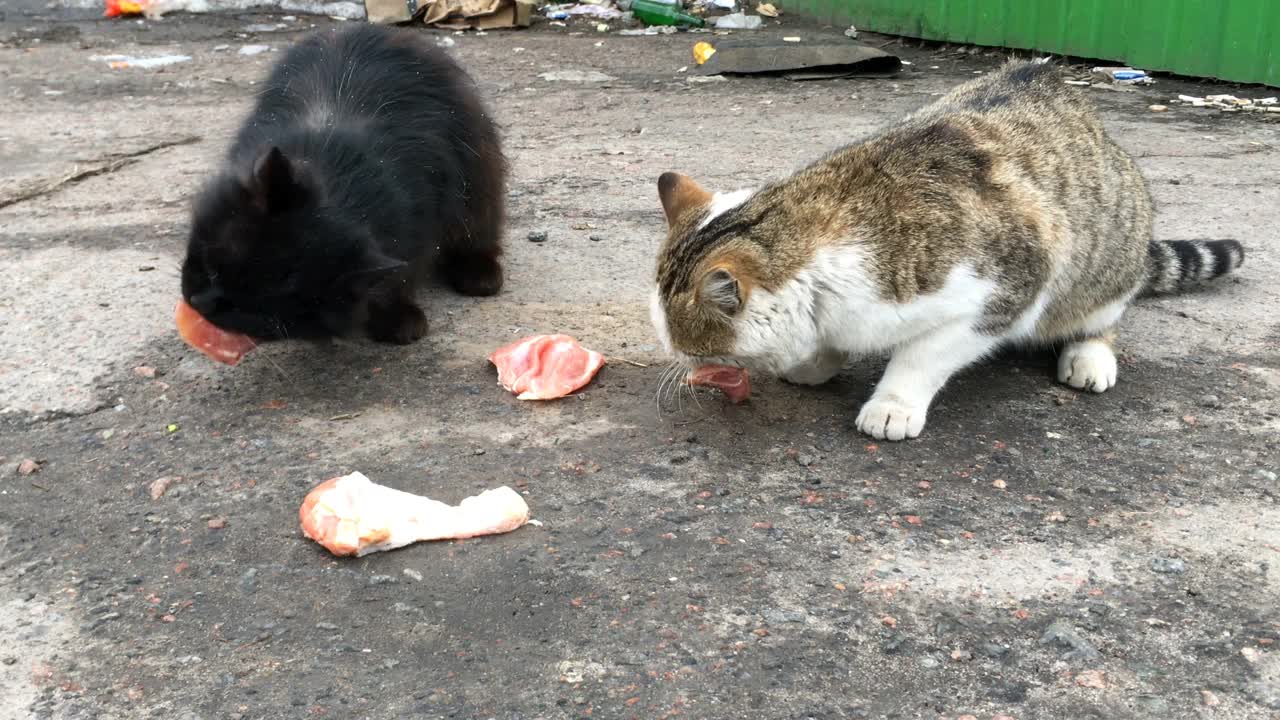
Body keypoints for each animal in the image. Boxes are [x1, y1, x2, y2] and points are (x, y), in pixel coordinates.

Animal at [183, 23, 506, 343]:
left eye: (253, 311)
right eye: (212, 267)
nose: (201, 303)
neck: (337, 173)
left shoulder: (416, 229)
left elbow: (400, 277)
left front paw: (396, 318)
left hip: (476, 178)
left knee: (480, 232)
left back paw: (479, 272)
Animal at [650, 60, 1239, 438]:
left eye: (687, 348)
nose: (677, 365)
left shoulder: (1007, 288)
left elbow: (924, 354)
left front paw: (893, 403)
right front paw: (818, 361)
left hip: (1104, 263)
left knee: (1102, 314)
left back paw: (1089, 354)